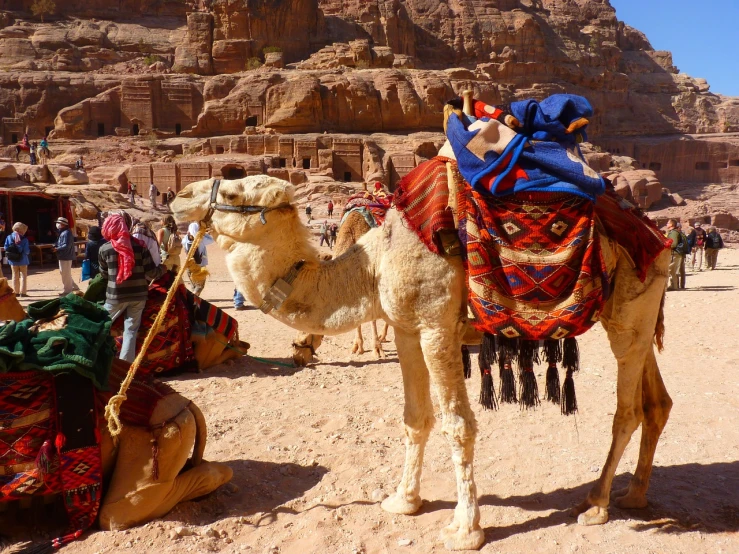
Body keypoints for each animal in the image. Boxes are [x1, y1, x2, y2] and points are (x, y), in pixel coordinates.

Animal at [172, 174, 672, 548]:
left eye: (233, 194)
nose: (178, 198)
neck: (372, 263)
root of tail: (658, 236)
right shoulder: (407, 328)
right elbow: (415, 417)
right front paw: (403, 501)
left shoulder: (435, 325)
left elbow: (457, 423)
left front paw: (465, 529)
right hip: (639, 318)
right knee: (658, 403)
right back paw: (636, 495)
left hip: (628, 315)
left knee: (627, 410)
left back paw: (597, 503)